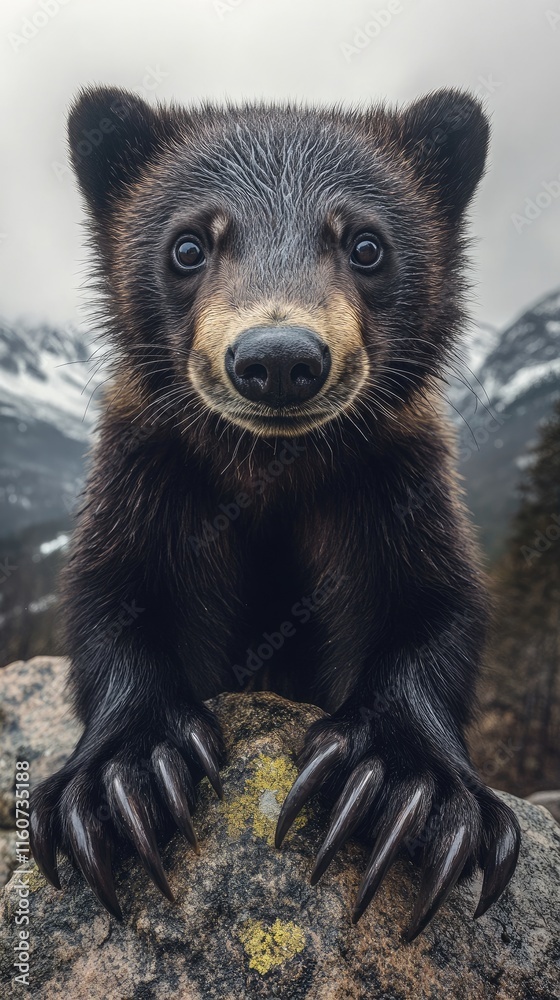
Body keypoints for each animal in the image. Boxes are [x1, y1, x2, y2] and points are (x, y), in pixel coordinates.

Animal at [29, 86, 520, 941]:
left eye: (366, 244)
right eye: (190, 245)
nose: (280, 359)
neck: (272, 473)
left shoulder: (393, 483)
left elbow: (433, 608)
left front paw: (399, 780)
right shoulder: (153, 476)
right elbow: (111, 599)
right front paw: (124, 777)